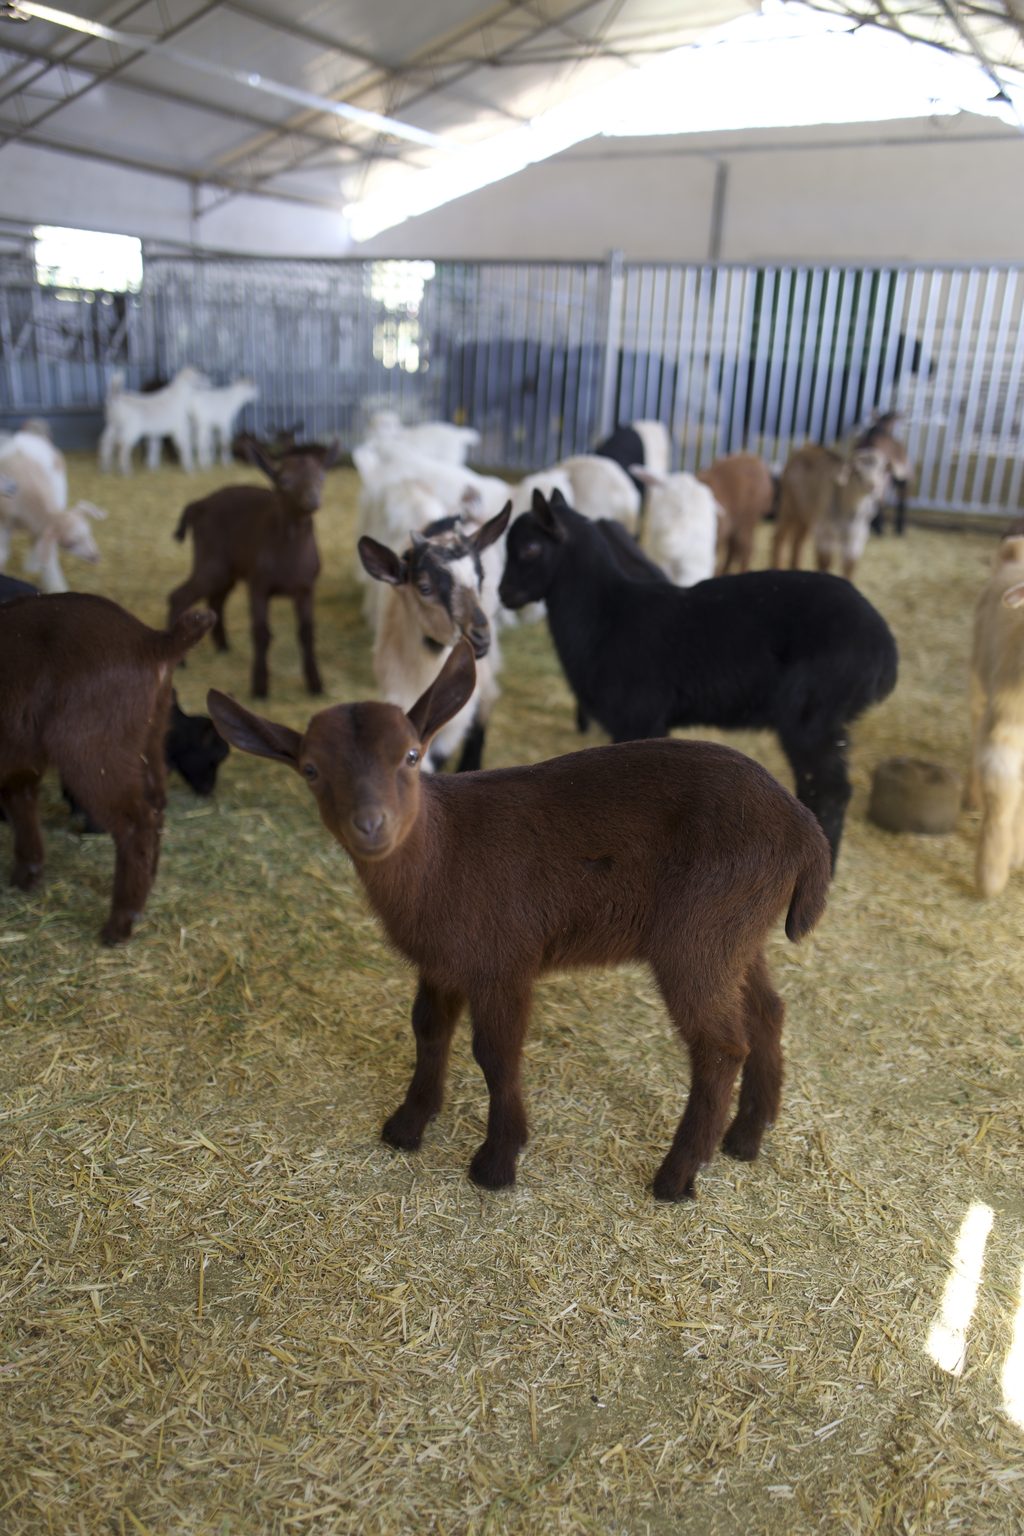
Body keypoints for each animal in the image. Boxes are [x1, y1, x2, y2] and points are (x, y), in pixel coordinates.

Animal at [0, 594, 214, 943]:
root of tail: (152, 641)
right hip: (148, 736)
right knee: (156, 804)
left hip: (92, 750)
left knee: (135, 824)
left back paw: (119, 925)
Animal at [168, 442, 341, 698]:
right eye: (284, 480)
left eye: (321, 476)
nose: (312, 500)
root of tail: (198, 505)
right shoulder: (259, 584)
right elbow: (261, 633)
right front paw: (260, 687)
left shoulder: (306, 587)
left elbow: (306, 633)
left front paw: (316, 685)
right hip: (211, 559)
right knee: (180, 595)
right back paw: (179, 661)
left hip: (228, 567)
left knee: (216, 598)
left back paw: (223, 646)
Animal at [207, 639, 831, 1200]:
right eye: (311, 769)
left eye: (411, 755)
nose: (371, 824)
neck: (442, 854)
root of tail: (804, 831)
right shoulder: (441, 961)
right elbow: (428, 1029)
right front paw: (407, 1126)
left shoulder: (503, 960)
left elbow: (496, 1053)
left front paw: (497, 1162)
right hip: (740, 933)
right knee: (767, 1012)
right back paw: (746, 1138)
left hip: (698, 935)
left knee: (721, 1046)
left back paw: (676, 1178)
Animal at [499, 490, 898, 867]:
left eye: (531, 548)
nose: (504, 594)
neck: (606, 615)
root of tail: (886, 651)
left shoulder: (638, 716)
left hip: (812, 713)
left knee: (829, 792)